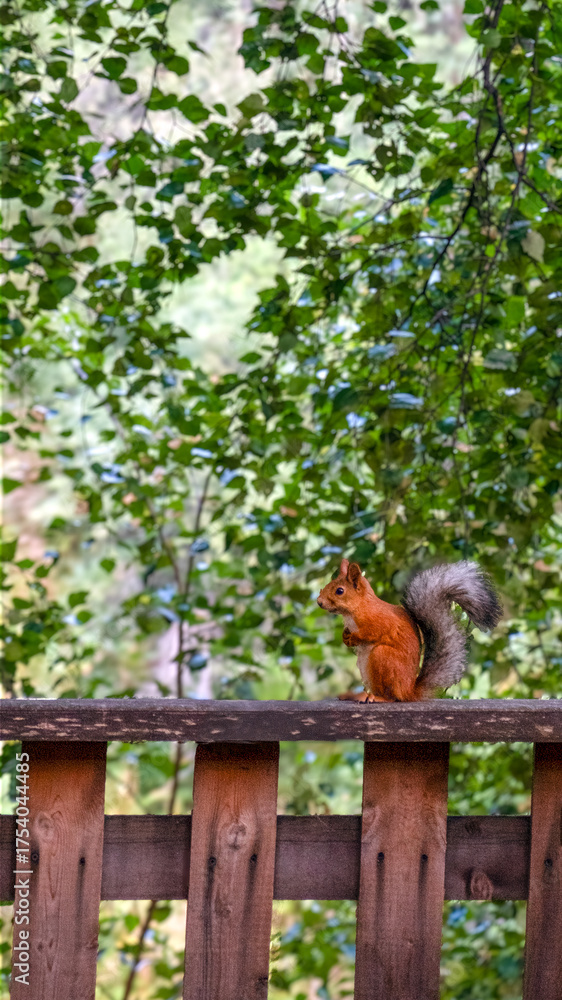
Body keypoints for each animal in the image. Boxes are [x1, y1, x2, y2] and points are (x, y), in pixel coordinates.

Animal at [317, 559, 502, 702]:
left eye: (339, 591)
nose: (319, 602)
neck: (358, 609)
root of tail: (408, 691)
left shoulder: (380, 622)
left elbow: (372, 633)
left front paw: (354, 638)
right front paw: (345, 637)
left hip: (382, 658)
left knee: (393, 698)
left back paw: (376, 697)